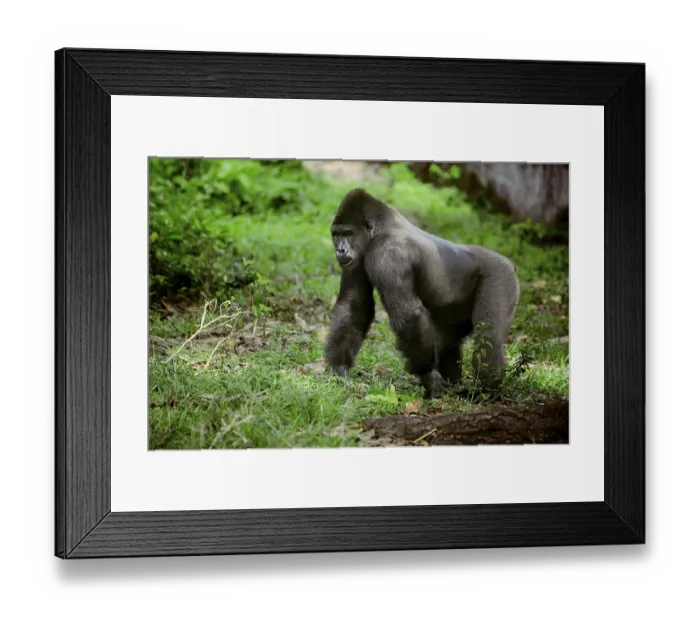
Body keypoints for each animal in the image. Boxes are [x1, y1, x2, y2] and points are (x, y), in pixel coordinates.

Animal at [324, 188, 520, 399]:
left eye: (348, 233)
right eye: (336, 234)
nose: (340, 250)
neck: (380, 227)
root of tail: (509, 263)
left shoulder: (387, 254)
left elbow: (409, 314)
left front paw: (427, 374)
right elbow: (354, 305)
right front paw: (339, 368)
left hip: (501, 274)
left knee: (488, 335)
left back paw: (486, 390)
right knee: (448, 341)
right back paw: (456, 383)